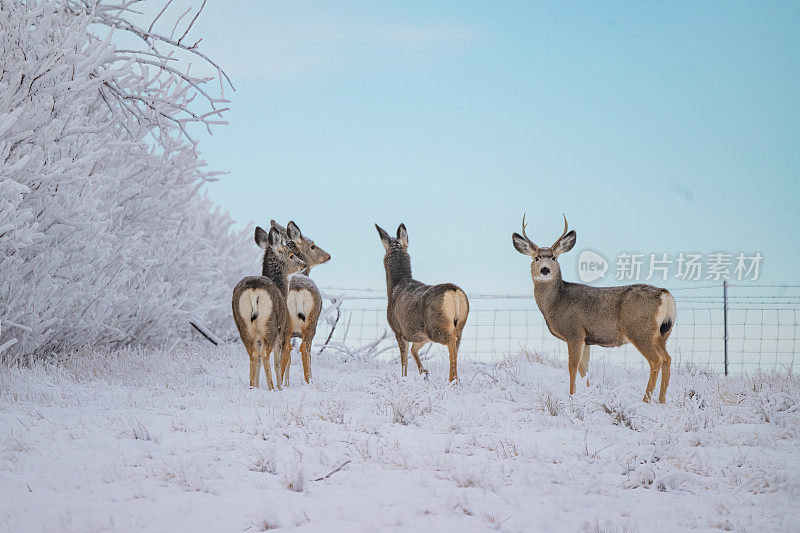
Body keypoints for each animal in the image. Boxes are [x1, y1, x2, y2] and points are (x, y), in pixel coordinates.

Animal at [233, 227, 308, 388]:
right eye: (291, 255)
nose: (303, 264)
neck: (283, 291)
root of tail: (254, 289)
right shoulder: (283, 331)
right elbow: (278, 362)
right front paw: (280, 387)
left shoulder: (258, 337)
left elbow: (259, 361)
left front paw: (257, 384)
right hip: (270, 325)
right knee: (265, 356)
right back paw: (273, 387)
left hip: (243, 325)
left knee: (253, 355)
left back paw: (252, 386)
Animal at [268, 218, 332, 384]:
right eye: (313, 245)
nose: (328, 255)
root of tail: (297, 290)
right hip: (309, 323)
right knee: (302, 349)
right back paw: (308, 381)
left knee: (285, 351)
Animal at [376, 222, 468, 380]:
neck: (395, 286)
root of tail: (455, 292)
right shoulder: (420, 335)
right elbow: (414, 349)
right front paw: (423, 371)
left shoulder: (399, 330)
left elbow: (404, 361)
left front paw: (404, 378)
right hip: (461, 323)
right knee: (456, 346)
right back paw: (454, 379)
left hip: (436, 327)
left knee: (451, 340)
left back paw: (453, 380)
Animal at [512, 214, 676, 402]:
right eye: (536, 258)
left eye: (553, 257)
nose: (545, 270)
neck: (556, 302)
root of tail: (665, 295)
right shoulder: (586, 338)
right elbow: (584, 370)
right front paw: (588, 395)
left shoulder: (574, 332)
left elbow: (572, 367)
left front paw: (571, 396)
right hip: (662, 334)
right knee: (667, 358)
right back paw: (661, 400)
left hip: (639, 329)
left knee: (656, 360)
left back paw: (646, 400)